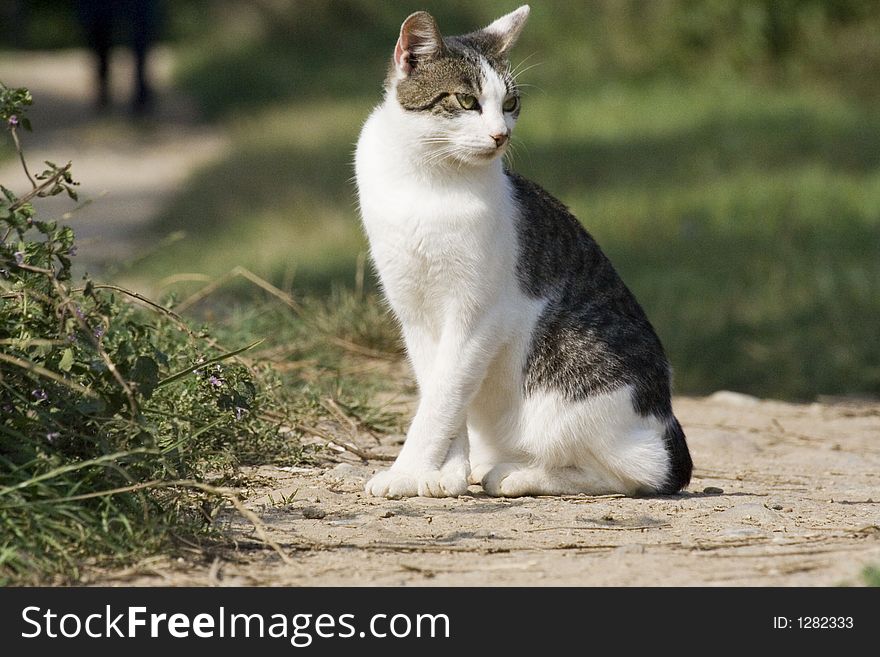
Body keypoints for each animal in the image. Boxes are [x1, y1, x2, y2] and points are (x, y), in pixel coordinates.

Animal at [354, 3, 692, 498]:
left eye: (510, 104)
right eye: (467, 101)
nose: (501, 136)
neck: (427, 180)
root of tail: (665, 421)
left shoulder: (478, 315)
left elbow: (442, 399)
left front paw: (406, 472)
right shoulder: (414, 312)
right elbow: (441, 392)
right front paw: (444, 474)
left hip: (572, 400)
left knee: (642, 471)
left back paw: (518, 474)